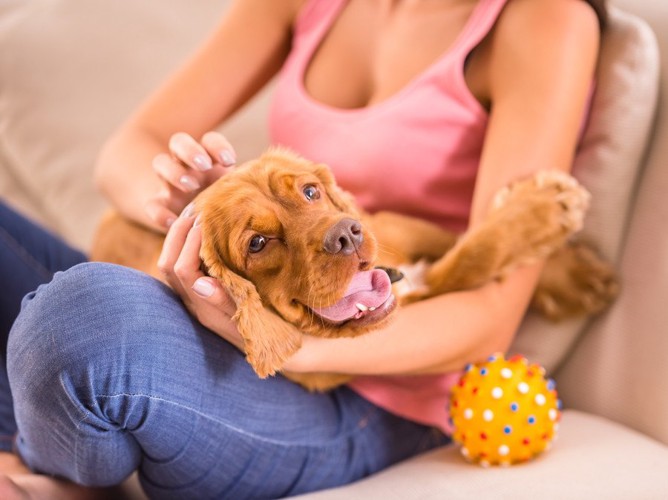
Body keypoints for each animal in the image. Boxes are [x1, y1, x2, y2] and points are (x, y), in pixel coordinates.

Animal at [91, 148, 620, 390]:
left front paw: (563, 260)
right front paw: (550, 214)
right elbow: (467, 261)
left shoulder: (403, 228)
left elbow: (469, 240)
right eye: (258, 243)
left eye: (310, 191)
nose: (347, 234)